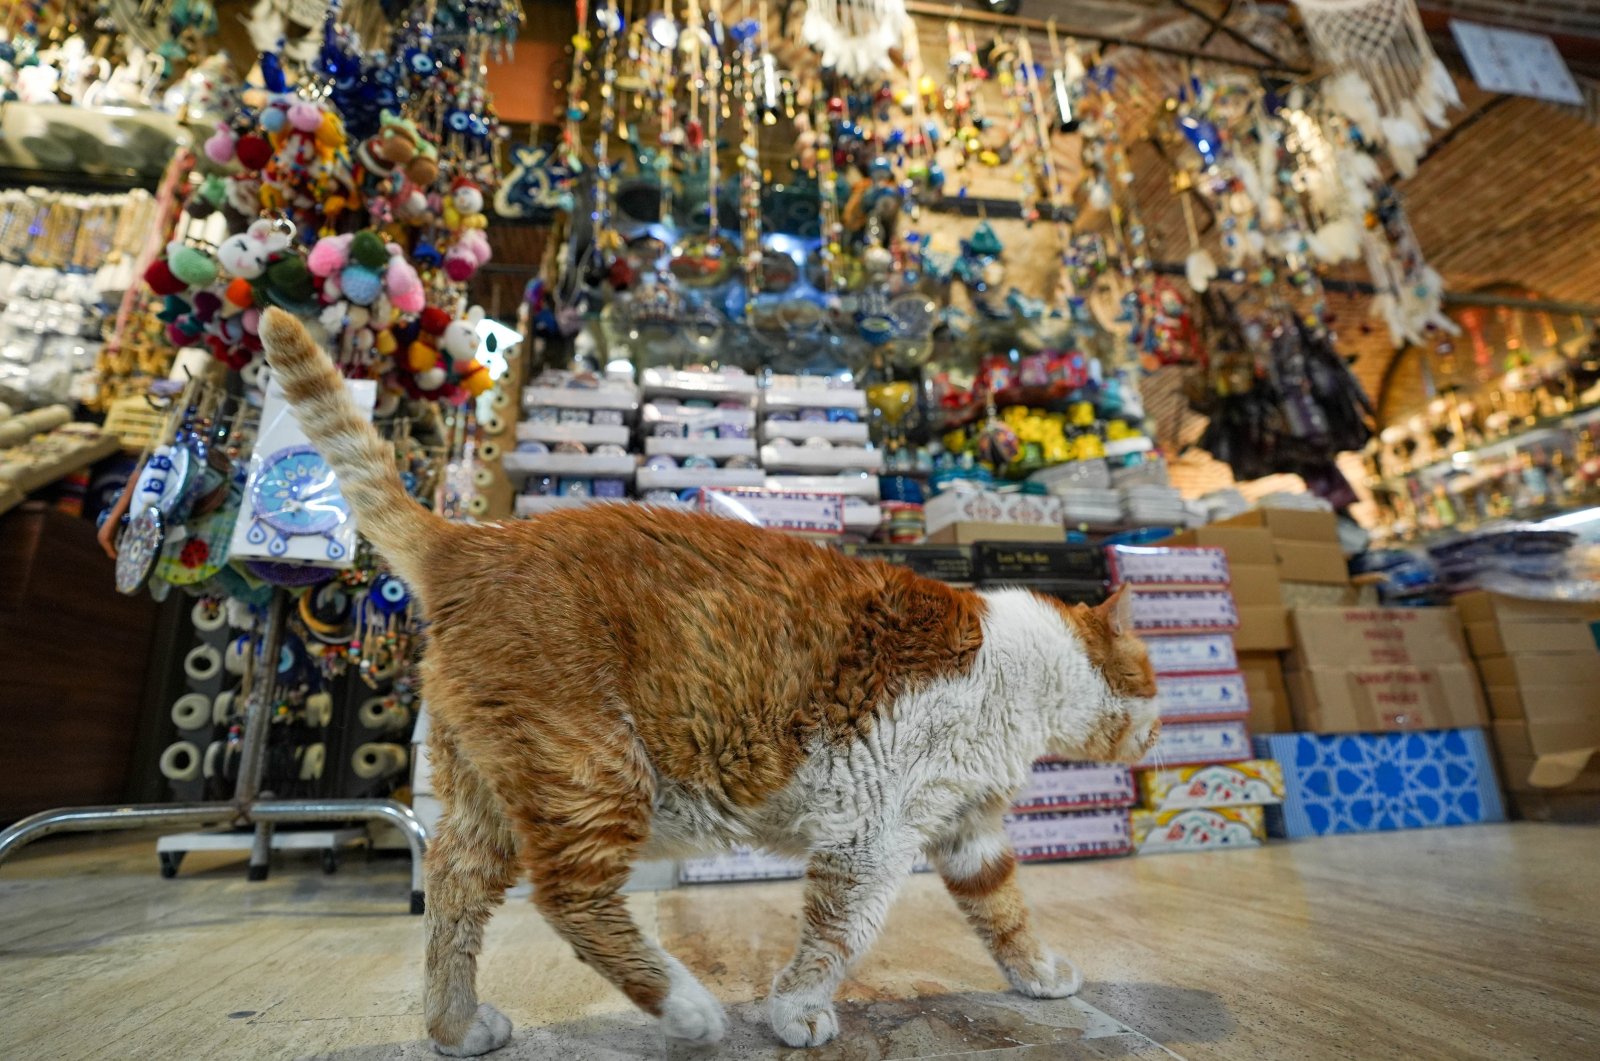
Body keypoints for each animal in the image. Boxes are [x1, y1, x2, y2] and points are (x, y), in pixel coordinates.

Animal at [262, 308, 1164, 1056]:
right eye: (1152, 680)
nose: (1160, 729)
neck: (1023, 670)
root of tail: (472, 539)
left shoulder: (969, 832)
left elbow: (1006, 913)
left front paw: (1041, 976)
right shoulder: (869, 838)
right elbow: (837, 936)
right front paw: (797, 1010)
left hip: (491, 795)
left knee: (454, 889)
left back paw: (455, 1026)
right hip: (594, 769)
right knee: (570, 895)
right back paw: (687, 1007)